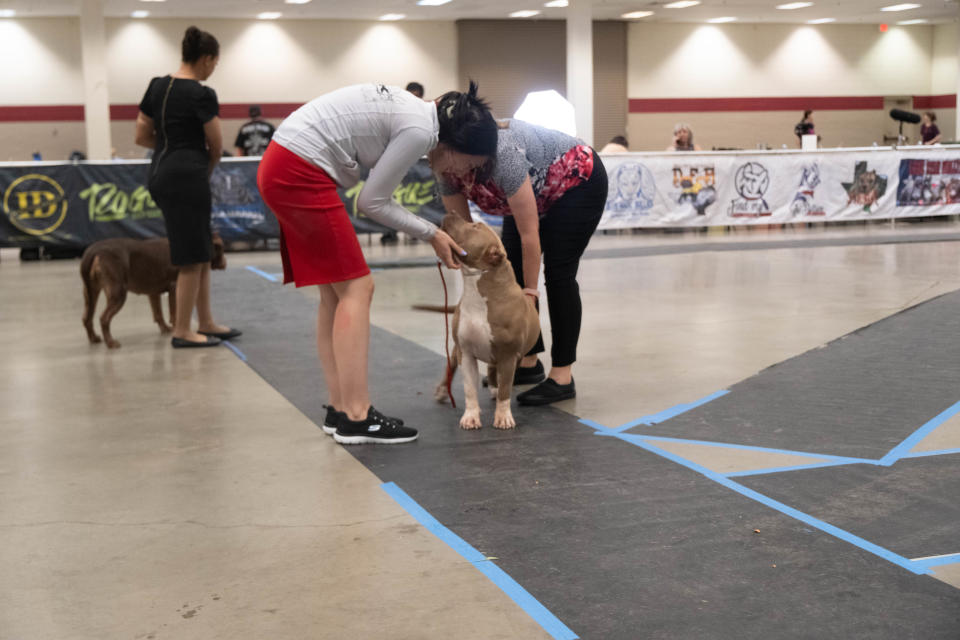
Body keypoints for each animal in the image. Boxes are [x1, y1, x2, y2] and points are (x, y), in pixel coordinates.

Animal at [79, 234, 226, 348]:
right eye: (221, 249)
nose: (225, 264)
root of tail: (93, 250)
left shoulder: (153, 293)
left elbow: (158, 314)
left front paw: (165, 329)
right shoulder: (174, 287)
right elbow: (174, 313)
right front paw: (175, 330)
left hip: (90, 292)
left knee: (87, 318)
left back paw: (94, 338)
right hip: (118, 293)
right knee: (104, 318)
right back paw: (110, 343)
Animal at [436, 215, 540, 430]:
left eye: (475, 226)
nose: (451, 212)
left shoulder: (509, 356)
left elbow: (505, 390)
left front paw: (503, 417)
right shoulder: (466, 352)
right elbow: (469, 388)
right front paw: (470, 416)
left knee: (495, 374)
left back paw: (494, 388)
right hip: (456, 350)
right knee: (451, 367)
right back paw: (442, 390)